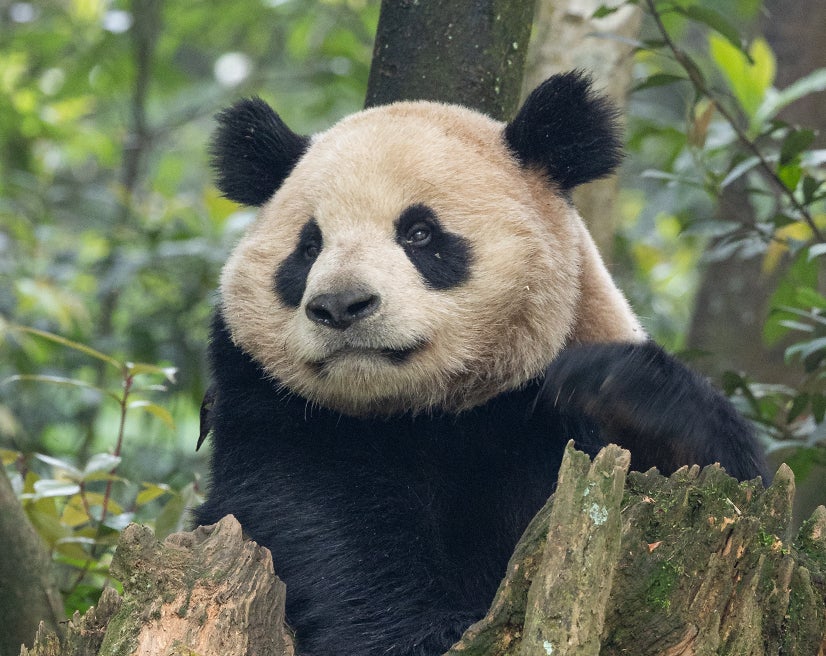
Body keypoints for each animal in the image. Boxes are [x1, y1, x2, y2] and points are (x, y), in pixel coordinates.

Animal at [194, 71, 768, 656]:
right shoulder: (272, 402)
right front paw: (424, 634)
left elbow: (734, 491)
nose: (340, 305)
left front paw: (615, 388)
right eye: (309, 248)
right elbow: (318, 516)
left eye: (419, 233)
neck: (429, 408)